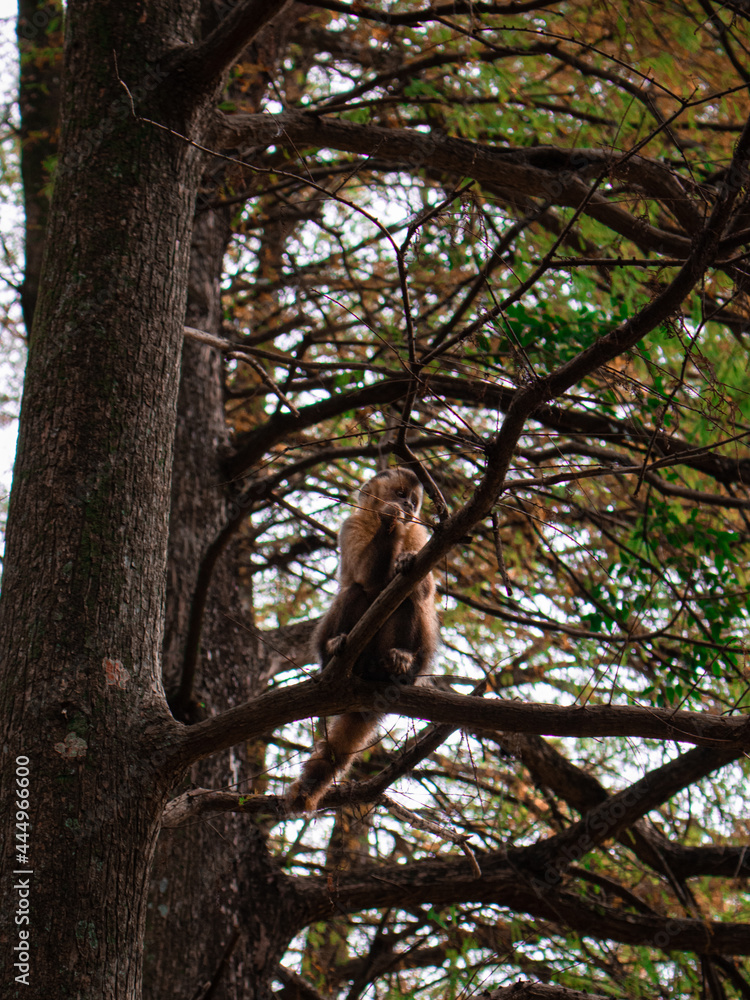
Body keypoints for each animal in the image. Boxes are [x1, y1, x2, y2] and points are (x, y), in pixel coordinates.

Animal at [286, 467, 438, 814]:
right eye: (400, 494)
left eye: (413, 502)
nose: (406, 507)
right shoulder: (350, 524)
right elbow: (363, 576)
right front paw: (388, 521)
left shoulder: (419, 533)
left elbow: (423, 589)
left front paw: (405, 557)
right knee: (356, 590)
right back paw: (336, 651)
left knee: (407, 598)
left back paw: (400, 663)